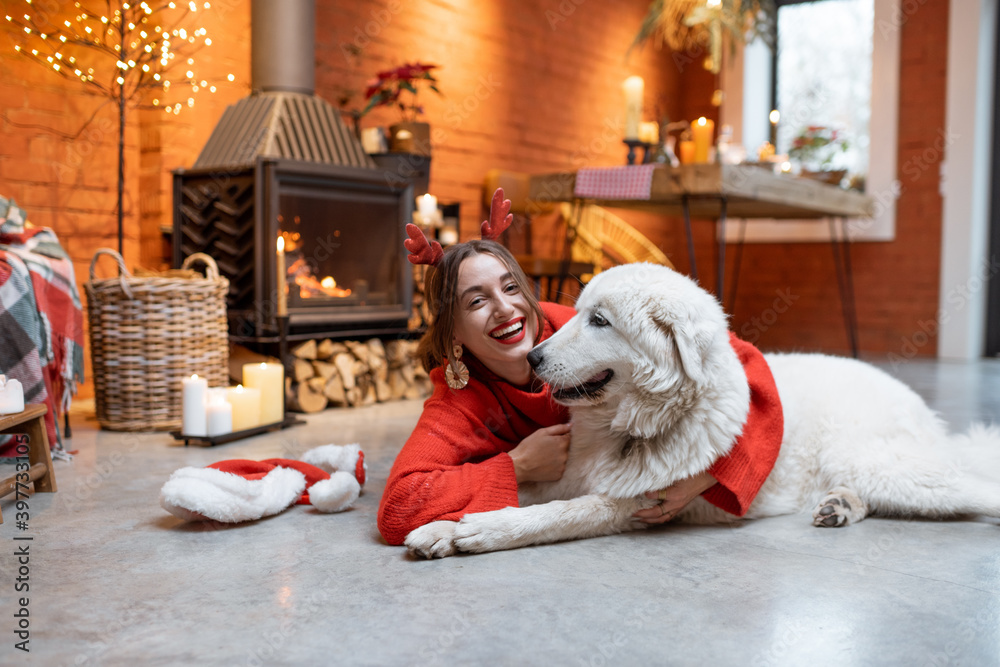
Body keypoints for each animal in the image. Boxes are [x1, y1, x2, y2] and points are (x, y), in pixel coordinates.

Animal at [404, 262, 1000, 560]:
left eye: (600, 321)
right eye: (577, 313)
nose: (533, 356)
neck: (633, 425)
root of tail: (915, 400)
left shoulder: (630, 503)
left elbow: (551, 516)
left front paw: (477, 533)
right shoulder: (565, 473)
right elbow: (513, 491)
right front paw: (443, 528)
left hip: (885, 467)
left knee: (972, 487)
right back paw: (839, 506)